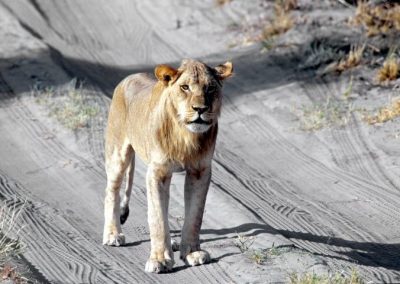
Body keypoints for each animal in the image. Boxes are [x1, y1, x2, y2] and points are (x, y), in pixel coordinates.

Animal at [103, 58, 233, 272]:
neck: (185, 136)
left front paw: (192, 253)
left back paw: (173, 242)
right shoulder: (158, 172)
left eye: (210, 88)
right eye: (185, 87)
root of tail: (128, 78)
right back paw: (113, 234)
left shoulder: (200, 171)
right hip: (117, 154)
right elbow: (157, 218)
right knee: (111, 192)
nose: (200, 109)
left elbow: (195, 216)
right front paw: (159, 259)